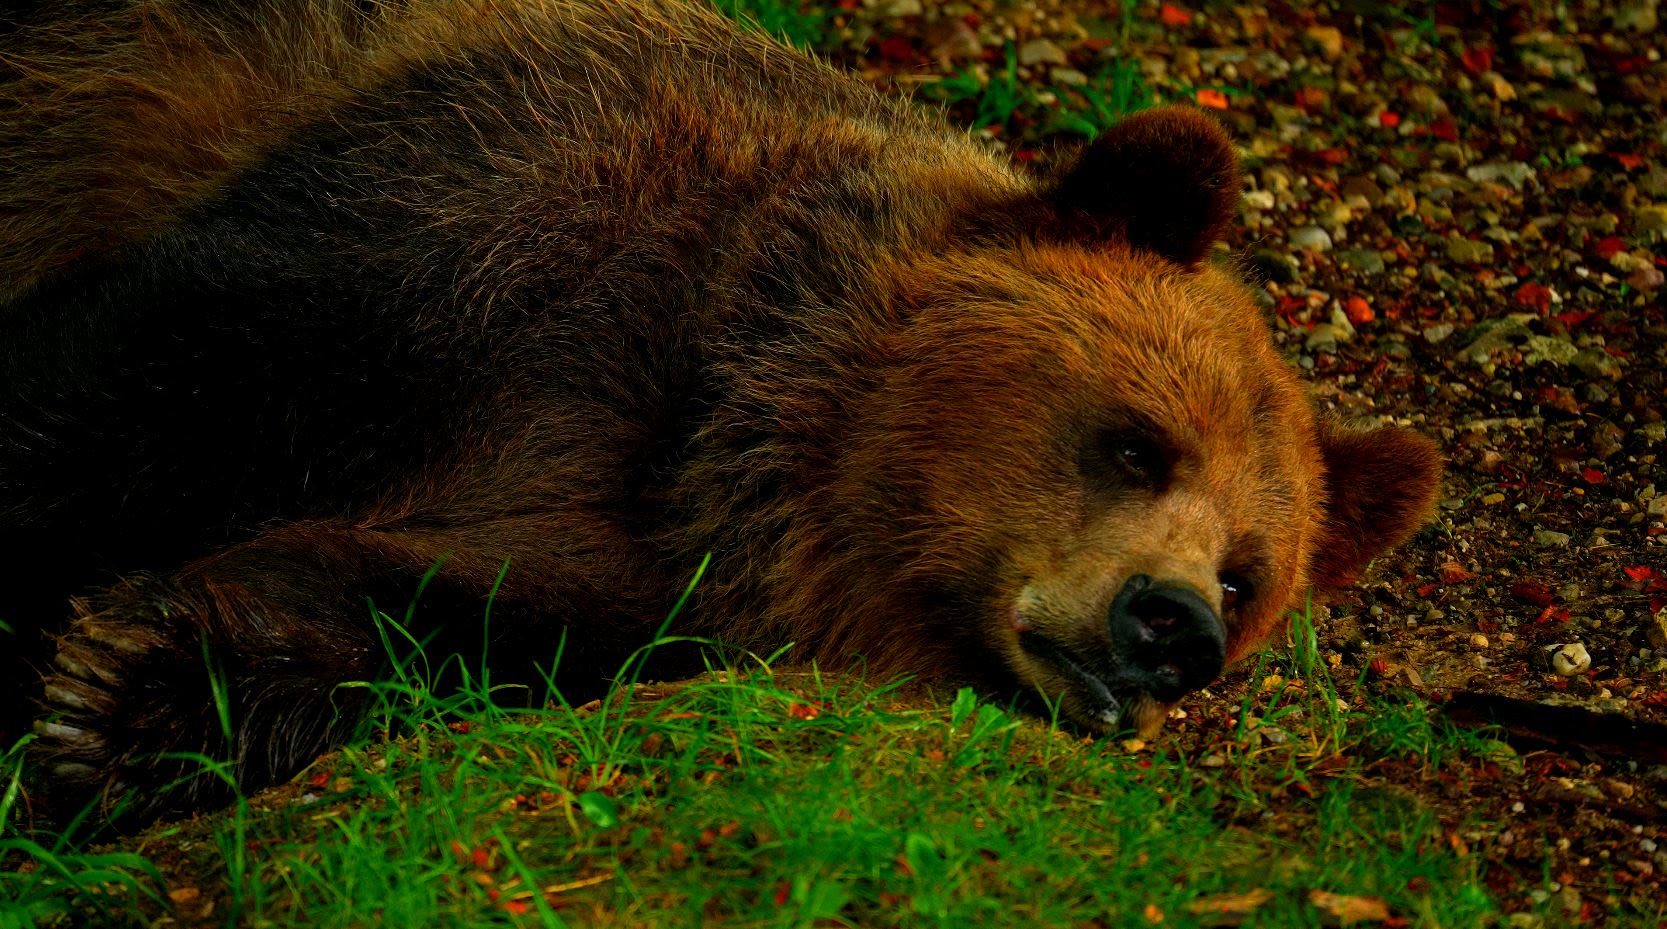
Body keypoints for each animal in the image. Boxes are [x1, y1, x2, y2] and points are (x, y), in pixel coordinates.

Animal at [0, 0, 1440, 823]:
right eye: (1135, 440)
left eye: (1248, 576)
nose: (1170, 627)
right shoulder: (460, 230)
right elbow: (125, 395)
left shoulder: (628, 573)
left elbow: (424, 609)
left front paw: (126, 698)